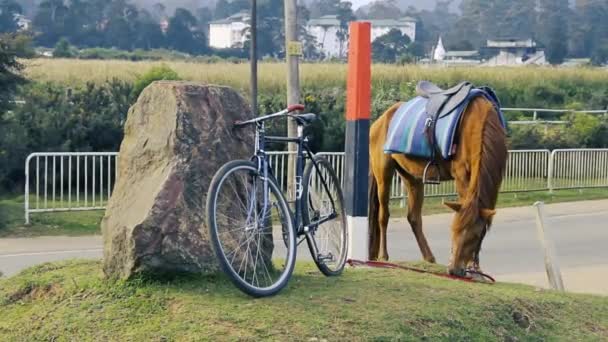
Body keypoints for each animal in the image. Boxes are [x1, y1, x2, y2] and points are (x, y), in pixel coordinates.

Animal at [370, 95, 508, 276]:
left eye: (475, 236)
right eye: (453, 230)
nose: (454, 269)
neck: (479, 123)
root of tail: (378, 122)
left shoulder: (494, 181)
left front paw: (476, 266)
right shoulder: (461, 176)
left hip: (411, 177)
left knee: (414, 217)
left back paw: (428, 257)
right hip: (383, 175)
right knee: (383, 214)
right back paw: (383, 255)